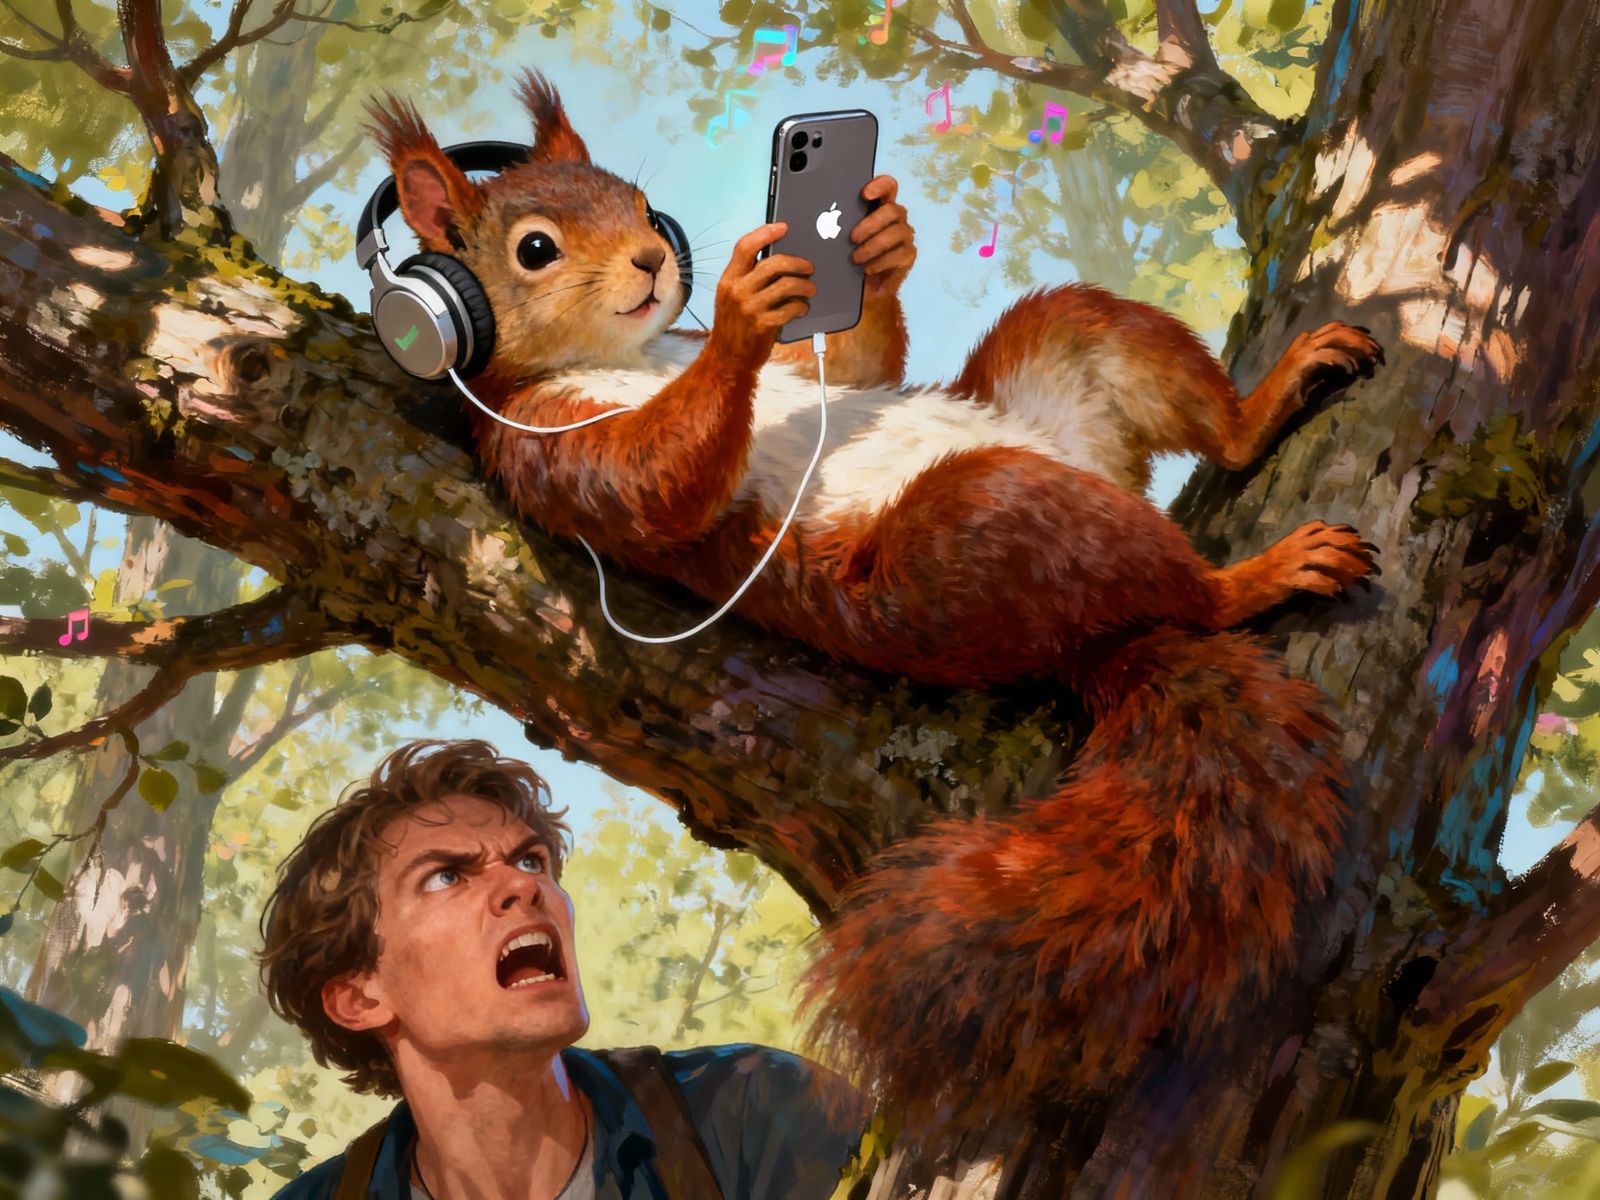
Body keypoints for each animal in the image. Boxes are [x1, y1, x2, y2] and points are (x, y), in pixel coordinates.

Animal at [365, 71, 1383, 1129]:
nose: (655, 260)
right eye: (536, 249)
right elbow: (655, 486)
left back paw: (1269, 402)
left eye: (641, 206)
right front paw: (745, 307)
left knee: (1184, 408)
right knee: (1180, 592)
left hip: (1082, 354)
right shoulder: (542, 445)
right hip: (983, 527)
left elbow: (855, 370)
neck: (633, 359)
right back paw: (1249, 579)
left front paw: (879, 238)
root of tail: (1099, 637)